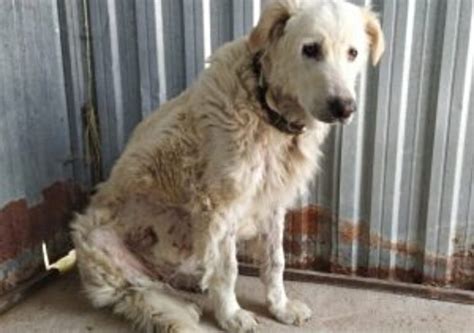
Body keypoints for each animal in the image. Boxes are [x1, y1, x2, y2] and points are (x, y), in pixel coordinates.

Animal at [70, 1, 384, 330]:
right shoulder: (218, 209)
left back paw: (190, 282)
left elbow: (275, 262)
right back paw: (183, 304)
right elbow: (227, 271)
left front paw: (280, 307)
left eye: (353, 53)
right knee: (140, 290)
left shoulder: (272, 204)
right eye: (310, 49)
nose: (344, 107)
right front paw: (231, 316)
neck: (264, 107)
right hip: (99, 242)